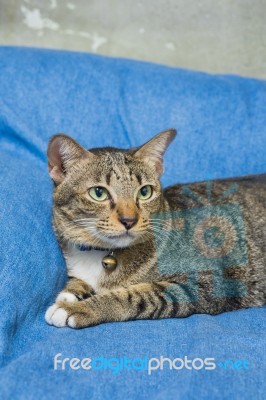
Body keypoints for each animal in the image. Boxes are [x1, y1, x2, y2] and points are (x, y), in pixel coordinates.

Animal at [44, 130, 264, 328]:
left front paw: (78, 308)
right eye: (98, 193)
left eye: (145, 192)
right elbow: (78, 282)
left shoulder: (207, 284)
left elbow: (134, 295)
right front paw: (70, 294)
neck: (102, 253)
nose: (129, 220)